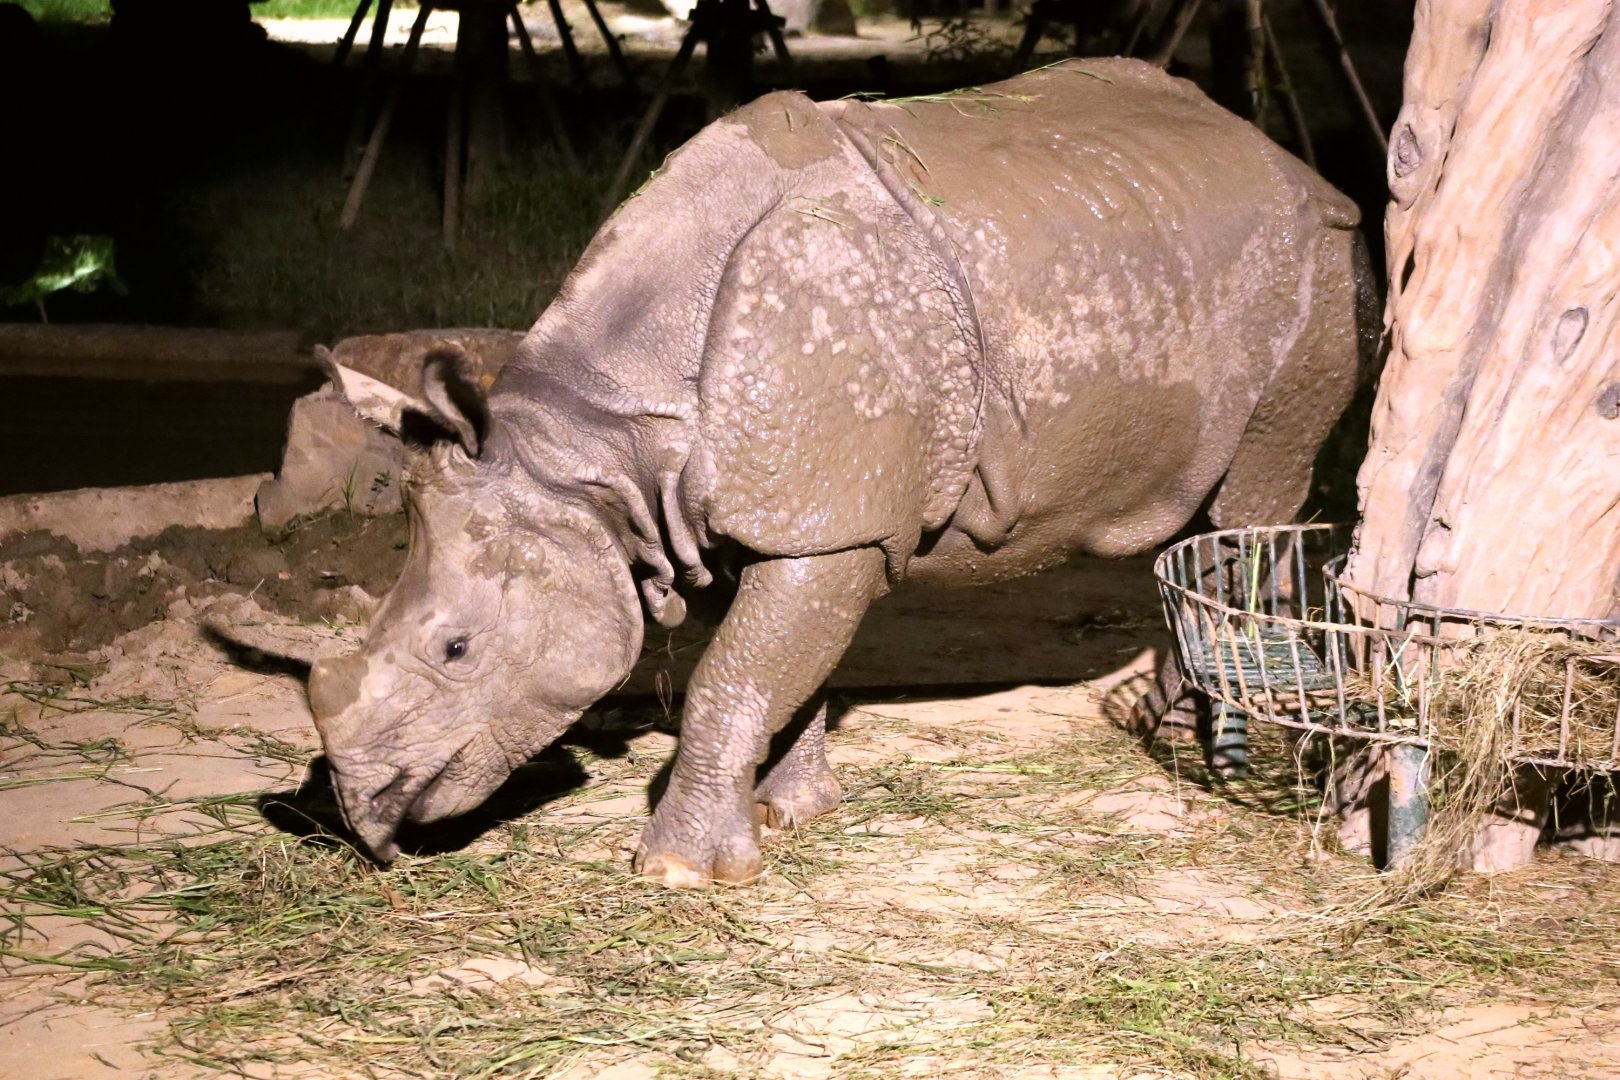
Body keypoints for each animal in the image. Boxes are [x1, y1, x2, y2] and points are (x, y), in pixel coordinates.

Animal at [306, 58, 1369, 887]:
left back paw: (1200, 728)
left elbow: (730, 677)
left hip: (1317, 267)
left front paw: (682, 871)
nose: (364, 818)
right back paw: (1161, 714)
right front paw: (793, 811)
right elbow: (780, 669)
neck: (591, 449)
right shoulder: (759, 513)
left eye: (457, 649)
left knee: (1253, 495)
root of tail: (1289, 159)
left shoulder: (824, 522)